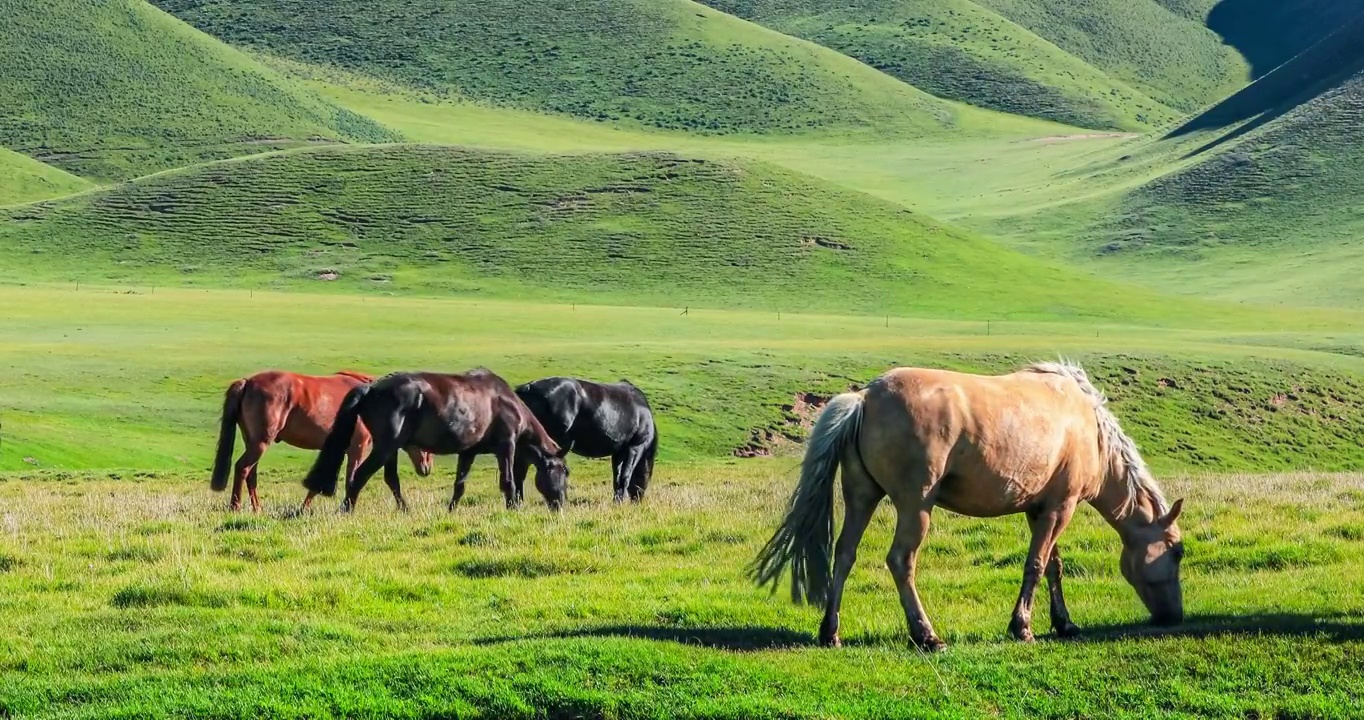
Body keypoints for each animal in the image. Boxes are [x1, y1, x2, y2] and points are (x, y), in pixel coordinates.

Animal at [211, 370, 431, 512]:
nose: (427, 468)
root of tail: (247, 382)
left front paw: (304, 508)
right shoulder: (357, 448)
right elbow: (352, 478)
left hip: (253, 442)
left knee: (251, 473)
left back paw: (257, 508)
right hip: (260, 443)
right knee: (243, 468)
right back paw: (235, 506)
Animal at [304, 370, 570, 512]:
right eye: (564, 472)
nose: (560, 504)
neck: (507, 402)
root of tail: (371, 389)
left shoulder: (468, 452)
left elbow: (460, 484)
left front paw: (451, 510)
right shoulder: (507, 446)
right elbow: (508, 481)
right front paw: (513, 508)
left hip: (390, 449)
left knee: (391, 480)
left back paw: (405, 510)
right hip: (385, 448)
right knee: (359, 477)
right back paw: (346, 510)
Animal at [501, 376, 660, 507]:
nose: (637, 501)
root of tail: (528, 388)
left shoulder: (618, 452)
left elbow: (617, 477)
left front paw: (616, 501)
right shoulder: (635, 448)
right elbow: (625, 476)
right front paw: (619, 503)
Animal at [752, 362, 1189, 649]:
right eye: (1177, 552)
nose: (1175, 617)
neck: (1089, 428)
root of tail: (864, 397)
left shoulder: (1040, 509)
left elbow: (1053, 567)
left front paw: (1064, 623)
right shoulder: (1060, 508)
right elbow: (1035, 565)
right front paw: (1022, 627)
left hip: (862, 496)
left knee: (845, 554)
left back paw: (831, 632)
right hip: (916, 507)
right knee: (901, 561)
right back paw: (927, 636)